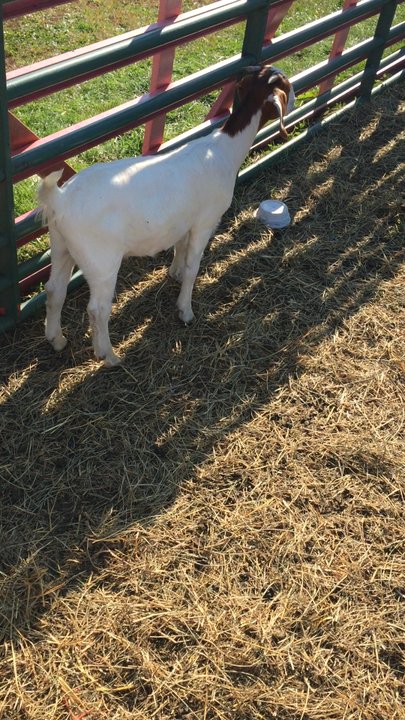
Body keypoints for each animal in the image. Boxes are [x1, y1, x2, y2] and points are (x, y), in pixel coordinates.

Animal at [38, 65, 294, 366]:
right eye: (286, 85)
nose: (294, 99)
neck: (224, 149)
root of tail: (60, 199)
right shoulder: (204, 222)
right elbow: (194, 265)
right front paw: (185, 310)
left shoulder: (185, 222)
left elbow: (179, 249)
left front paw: (174, 274)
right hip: (101, 261)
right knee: (97, 309)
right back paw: (109, 355)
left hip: (61, 246)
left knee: (54, 290)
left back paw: (56, 340)